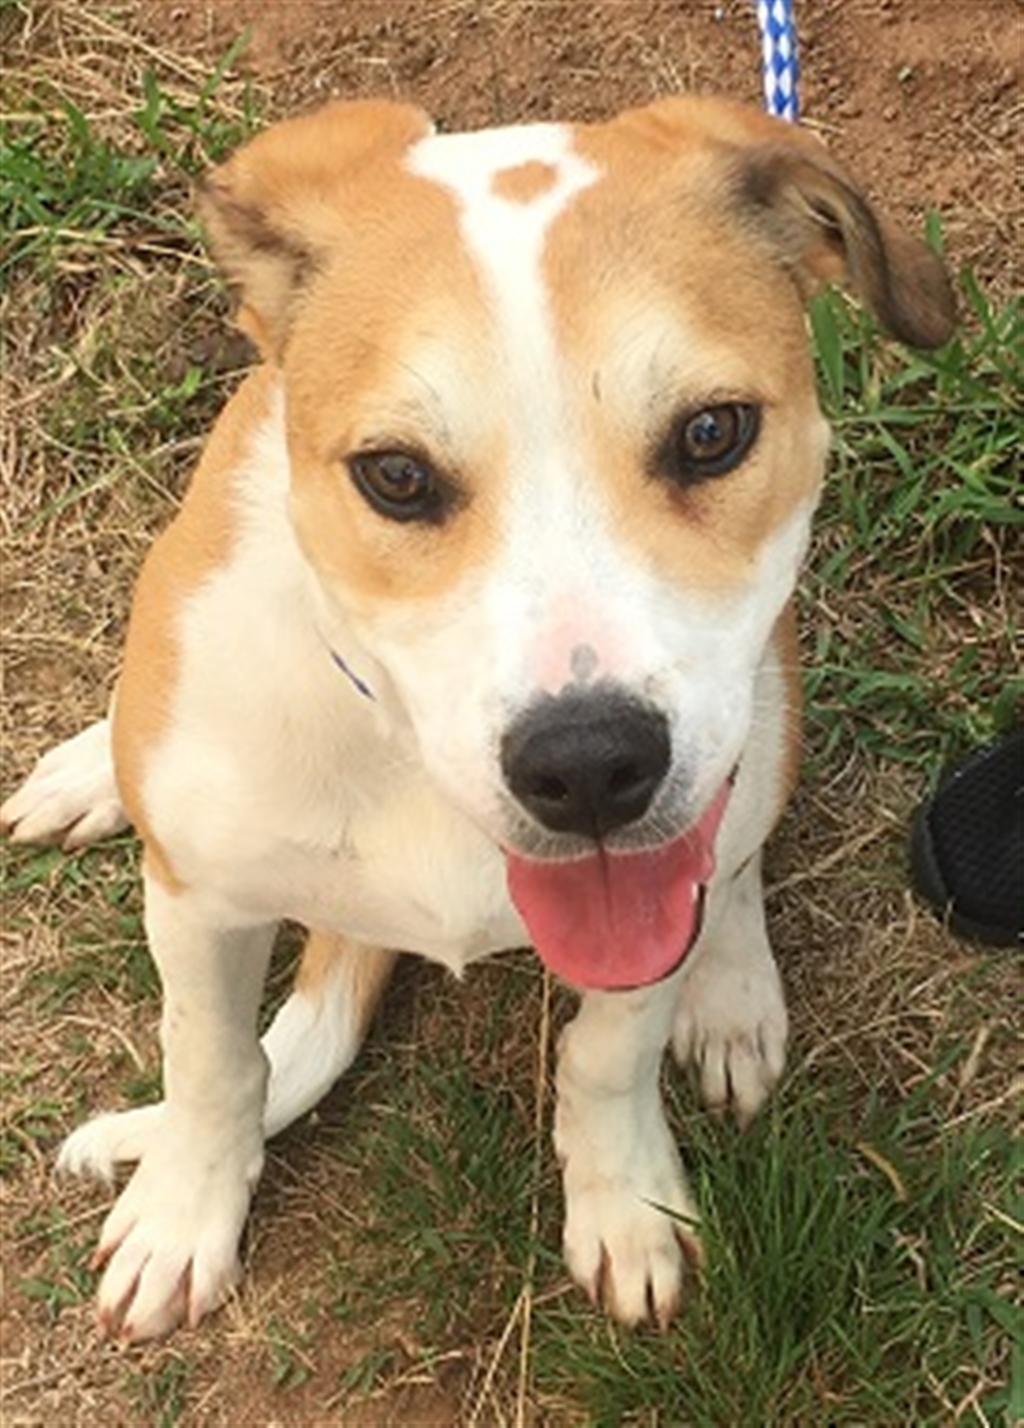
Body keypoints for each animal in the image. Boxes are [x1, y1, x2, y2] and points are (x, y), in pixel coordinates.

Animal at [1, 95, 954, 1342]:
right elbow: (212, 1064)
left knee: (738, 848)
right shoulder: (199, 905)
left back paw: (732, 989)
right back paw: (87, 772)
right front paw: (182, 1211)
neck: (399, 756)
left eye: (712, 433)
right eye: (396, 475)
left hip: (767, 705)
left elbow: (607, 1055)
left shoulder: (650, 904)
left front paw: (626, 1202)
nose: (591, 766)